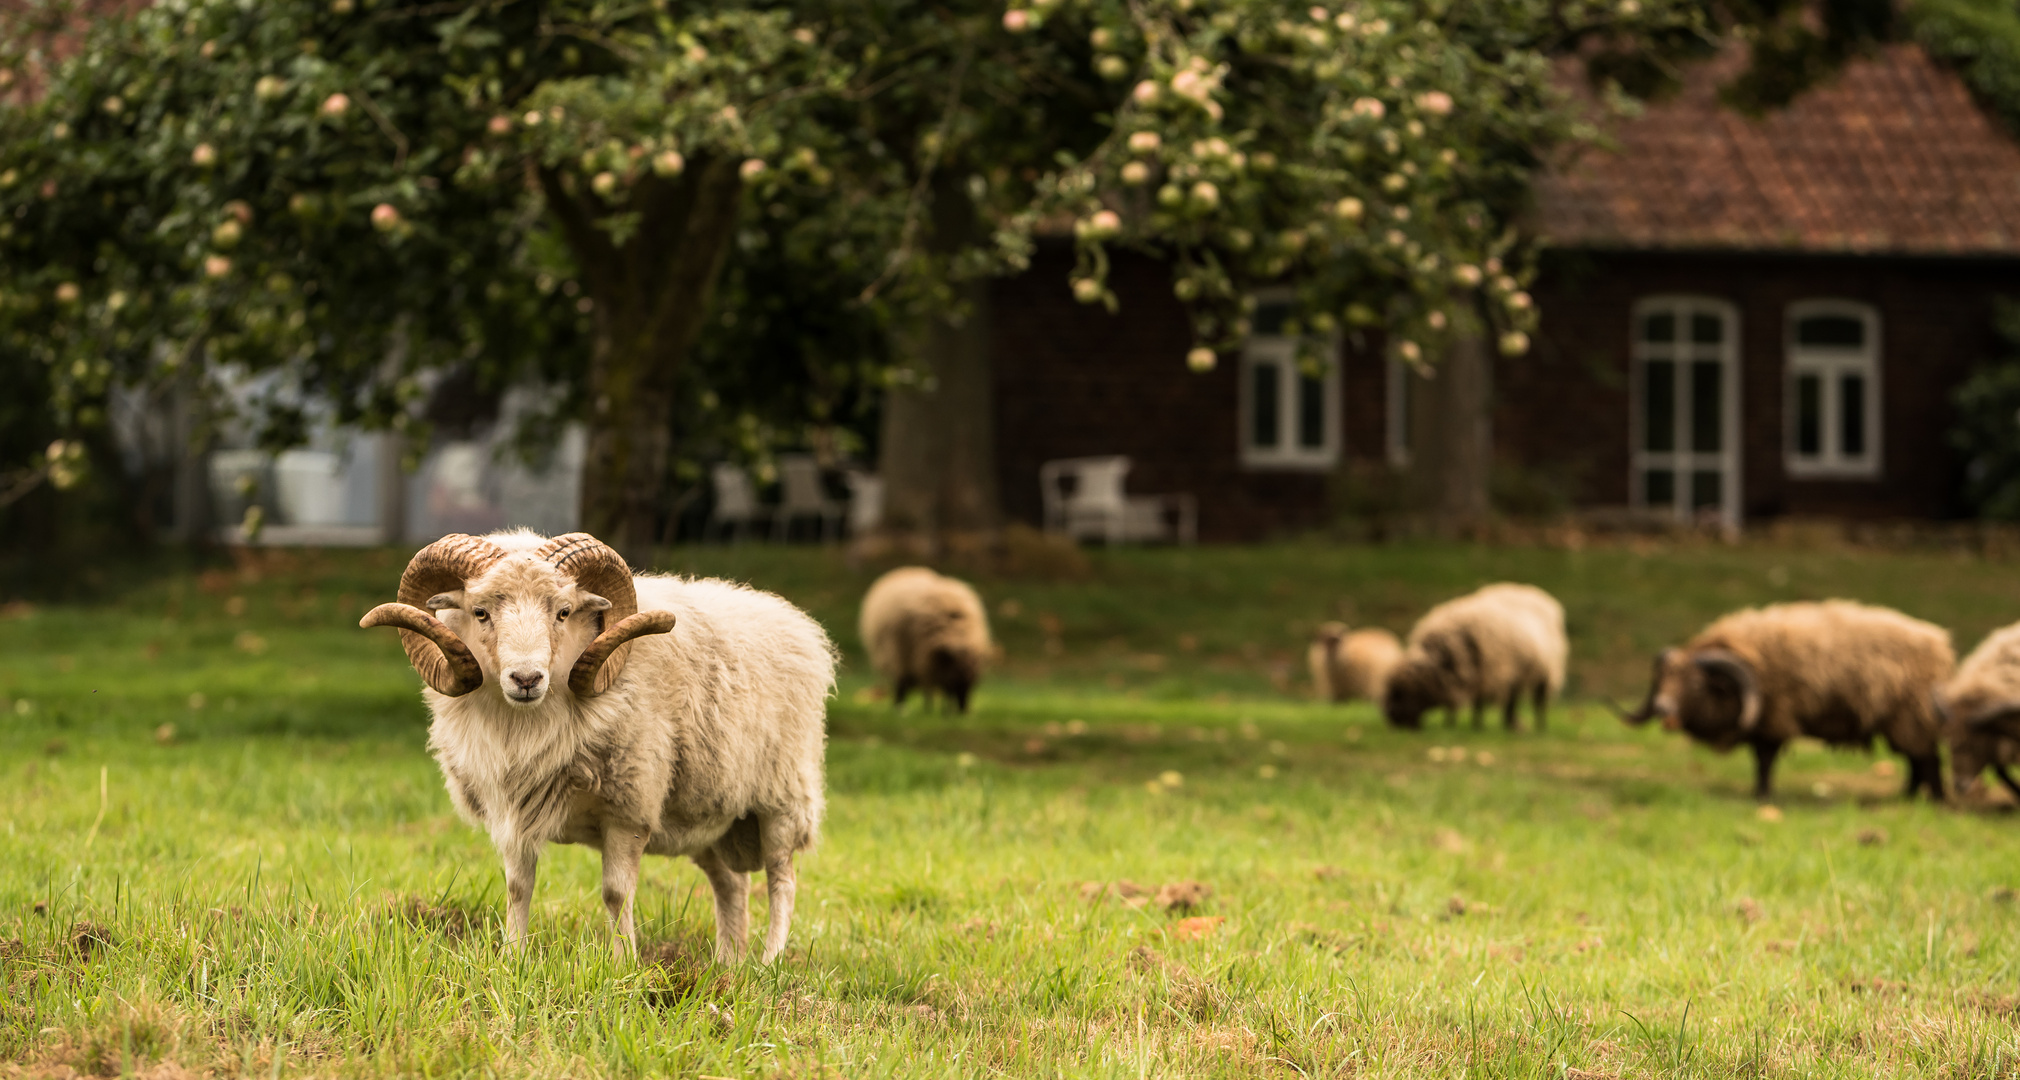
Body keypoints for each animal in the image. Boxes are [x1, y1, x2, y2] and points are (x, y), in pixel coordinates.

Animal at [359, 532, 832, 964]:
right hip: (710, 814)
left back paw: (768, 963)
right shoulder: (513, 809)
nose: (526, 679)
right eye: (480, 612)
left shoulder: (629, 809)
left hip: (783, 798)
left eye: (563, 612)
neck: (525, 726)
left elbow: (616, 893)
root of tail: (793, 618)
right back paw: (727, 964)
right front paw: (513, 959)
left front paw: (624, 966)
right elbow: (517, 888)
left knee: (781, 879)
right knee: (732, 884)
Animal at [860, 569, 993, 714]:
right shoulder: (910, 659)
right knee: (903, 684)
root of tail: (907, 569)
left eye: (973, 683)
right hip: (898, 658)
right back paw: (902, 707)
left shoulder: (931, 665)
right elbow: (905, 685)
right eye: (957, 681)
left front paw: (941, 710)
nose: (963, 711)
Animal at [1381, 581, 1567, 734]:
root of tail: (1538, 594)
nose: (1392, 720)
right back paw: (1511, 725)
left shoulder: (1487, 674)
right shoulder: (1472, 677)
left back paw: (1539, 727)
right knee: (1512, 700)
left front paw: (1476, 726)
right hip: (1518, 673)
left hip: (1546, 672)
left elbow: (1478, 704)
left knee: (1539, 703)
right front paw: (1452, 724)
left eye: (1403, 692)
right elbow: (1467, 703)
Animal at [1607, 605, 1955, 799]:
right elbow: (1760, 760)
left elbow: (1764, 760)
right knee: (1915, 760)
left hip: (1911, 715)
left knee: (1927, 759)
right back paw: (1909, 795)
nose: (1662, 707)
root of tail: (1941, 644)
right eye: (1661, 680)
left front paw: (1761, 795)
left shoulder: (1773, 718)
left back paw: (1935, 799)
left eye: (1694, 683)